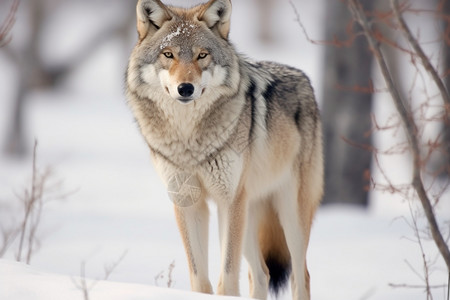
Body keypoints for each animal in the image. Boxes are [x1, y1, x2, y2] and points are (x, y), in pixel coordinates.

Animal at [125, 0, 324, 298]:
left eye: (202, 55)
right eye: (168, 54)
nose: (186, 88)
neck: (189, 139)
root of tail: (304, 78)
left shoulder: (228, 201)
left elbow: (227, 278)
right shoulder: (188, 202)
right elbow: (200, 278)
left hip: (288, 214)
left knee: (302, 276)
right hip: (250, 213)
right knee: (261, 275)